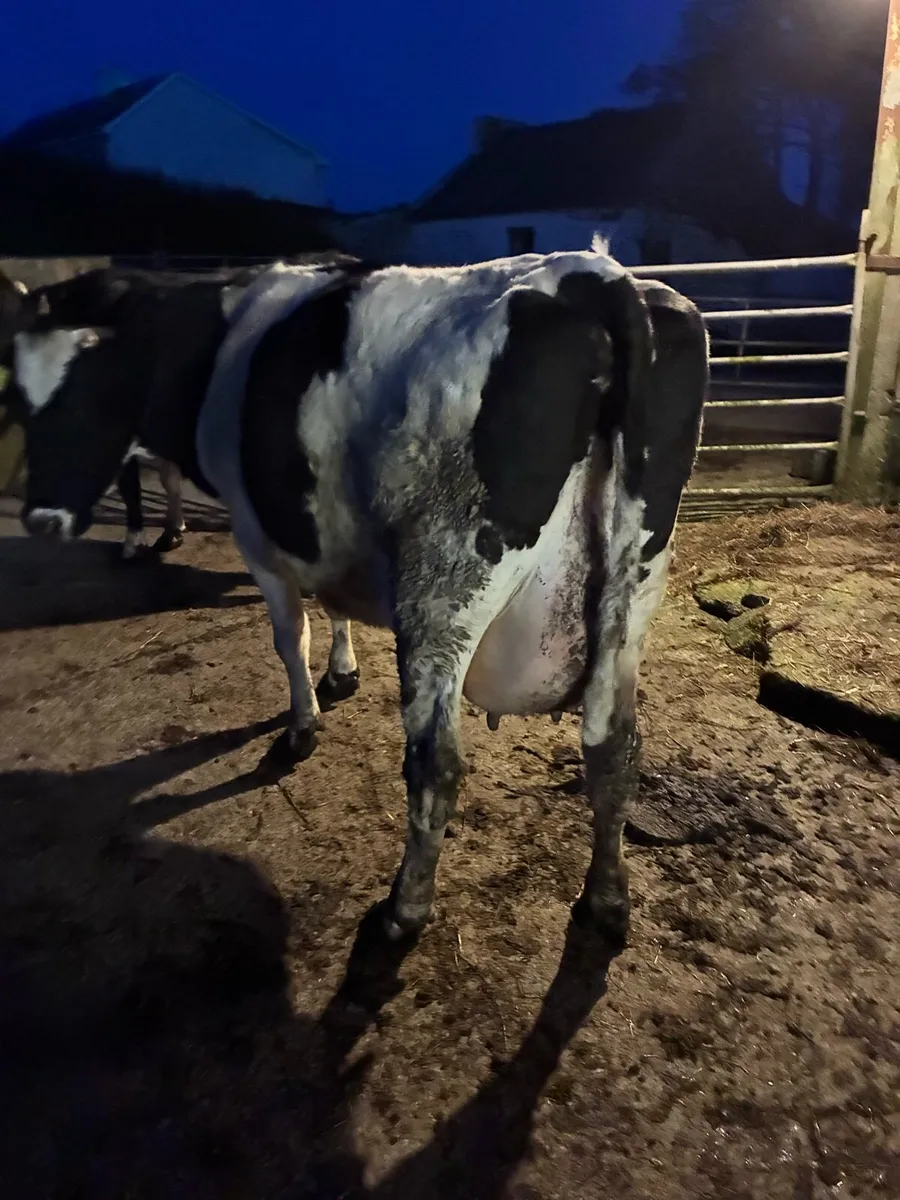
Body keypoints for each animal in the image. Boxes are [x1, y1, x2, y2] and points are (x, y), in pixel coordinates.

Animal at [195, 243, 709, 945]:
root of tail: (592, 275)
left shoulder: (256, 540)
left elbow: (288, 638)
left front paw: (303, 727)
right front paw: (341, 672)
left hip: (444, 584)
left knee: (434, 762)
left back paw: (404, 909)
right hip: (634, 591)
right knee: (614, 750)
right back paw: (606, 899)